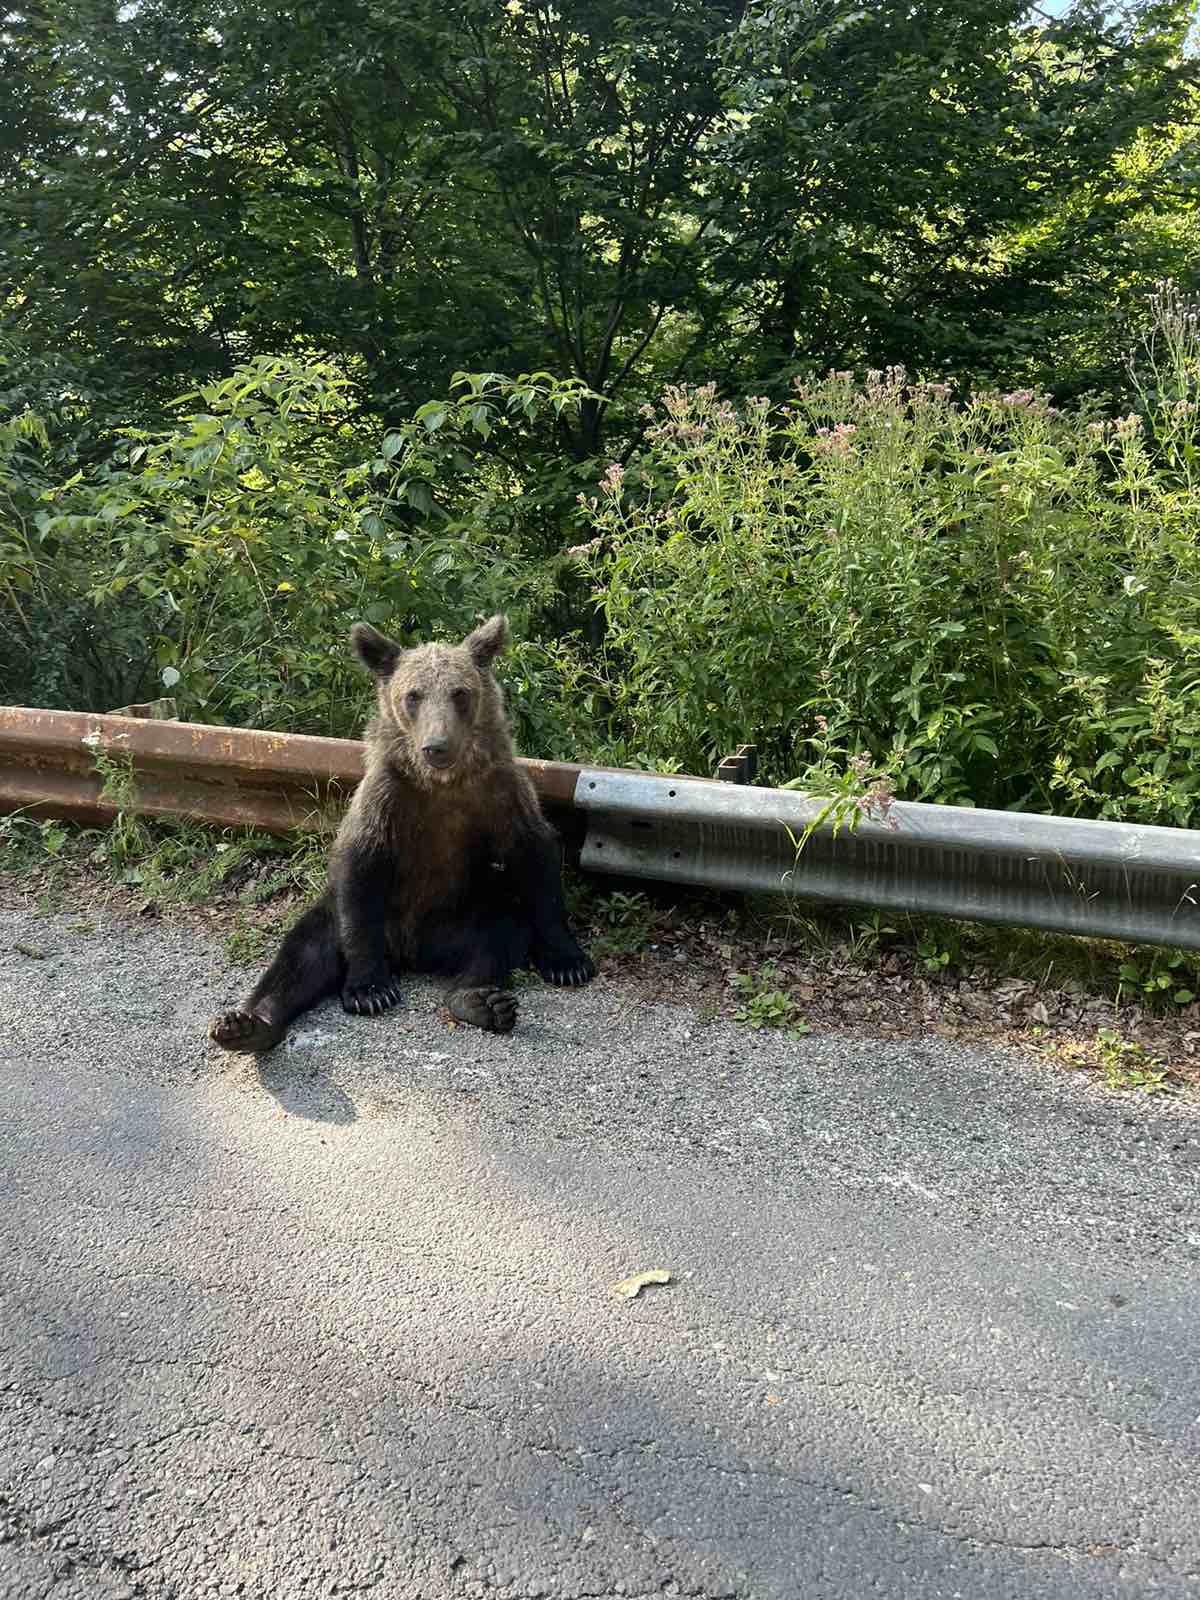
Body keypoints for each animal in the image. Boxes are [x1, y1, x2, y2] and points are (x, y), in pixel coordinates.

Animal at [214, 617, 598, 1056]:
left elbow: (535, 859)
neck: (441, 784)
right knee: (303, 952)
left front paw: (568, 962)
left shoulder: (500, 793)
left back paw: (479, 1001)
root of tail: (409, 952)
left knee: (498, 936)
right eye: (413, 695)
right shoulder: (385, 799)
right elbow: (360, 863)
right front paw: (369, 990)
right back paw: (247, 1024)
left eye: (459, 692)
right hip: (355, 916)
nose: (437, 746)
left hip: (460, 915)